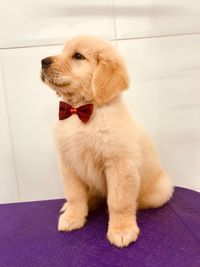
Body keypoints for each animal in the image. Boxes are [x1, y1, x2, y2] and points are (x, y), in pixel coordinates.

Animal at [40, 36, 173, 249]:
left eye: (78, 56)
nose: (43, 61)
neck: (80, 110)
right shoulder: (69, 164)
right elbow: (75, 195)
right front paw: (72, 217)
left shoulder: (120, 165)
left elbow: (119, 202)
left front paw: (121, 230)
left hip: (159, 190)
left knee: (132, 201)